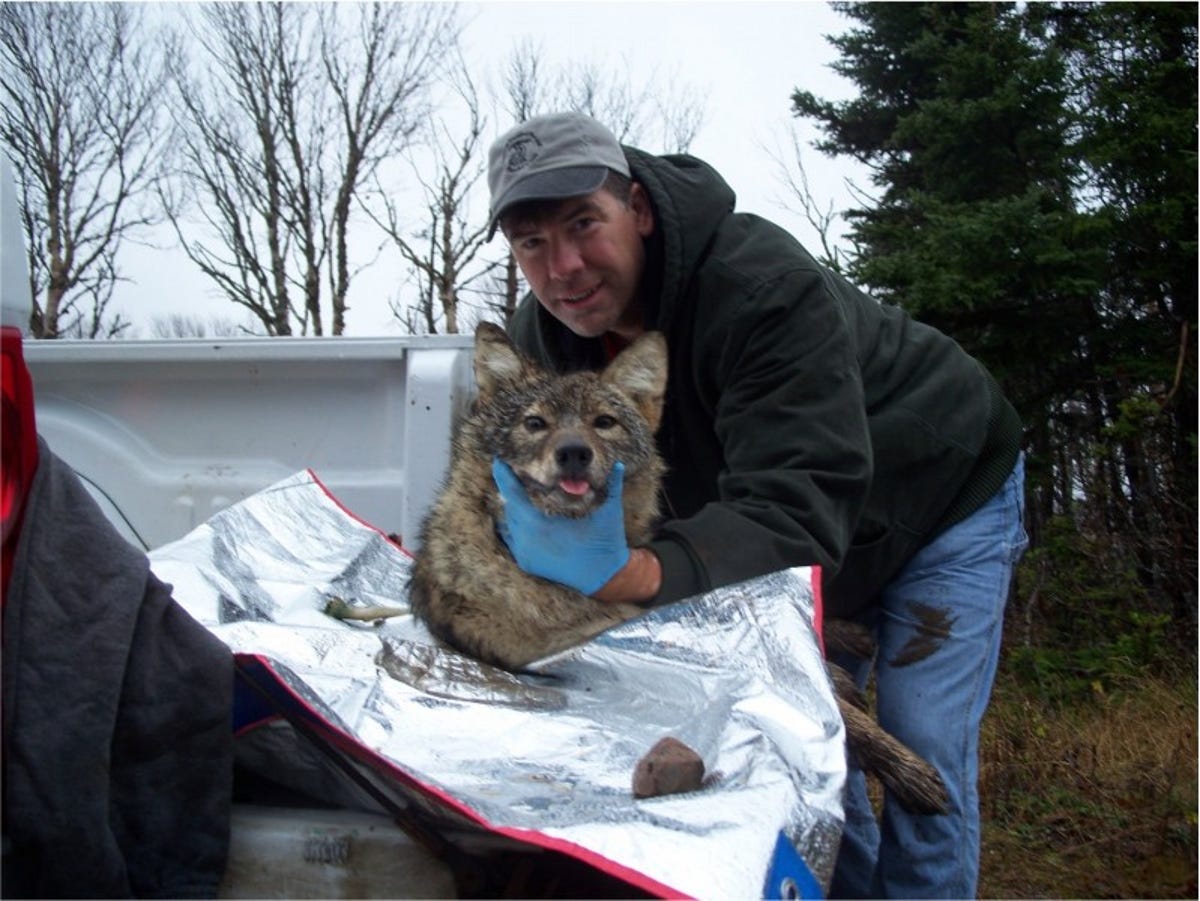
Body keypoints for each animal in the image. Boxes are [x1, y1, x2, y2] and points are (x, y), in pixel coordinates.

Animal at [410, 321, 945, 815]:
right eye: (534, 423)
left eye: (604, 422)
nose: (574, 454)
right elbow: (830, 710)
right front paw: (907, 769)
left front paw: (905, 765)